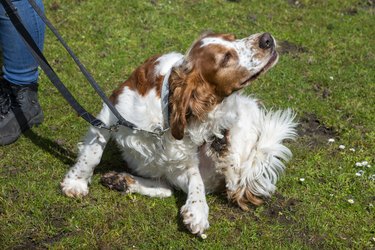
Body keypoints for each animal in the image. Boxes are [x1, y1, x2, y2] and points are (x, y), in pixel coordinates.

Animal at [61, 32, 296, 235]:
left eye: (233, 37)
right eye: (226, 58)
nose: (266, 38)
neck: (165, 113)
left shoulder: (185, 159)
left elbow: (195, 180)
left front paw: (198, 211)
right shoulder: (111, 112)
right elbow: (92, 154)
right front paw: (76, 183)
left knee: (228, 184)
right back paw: (121, 180)